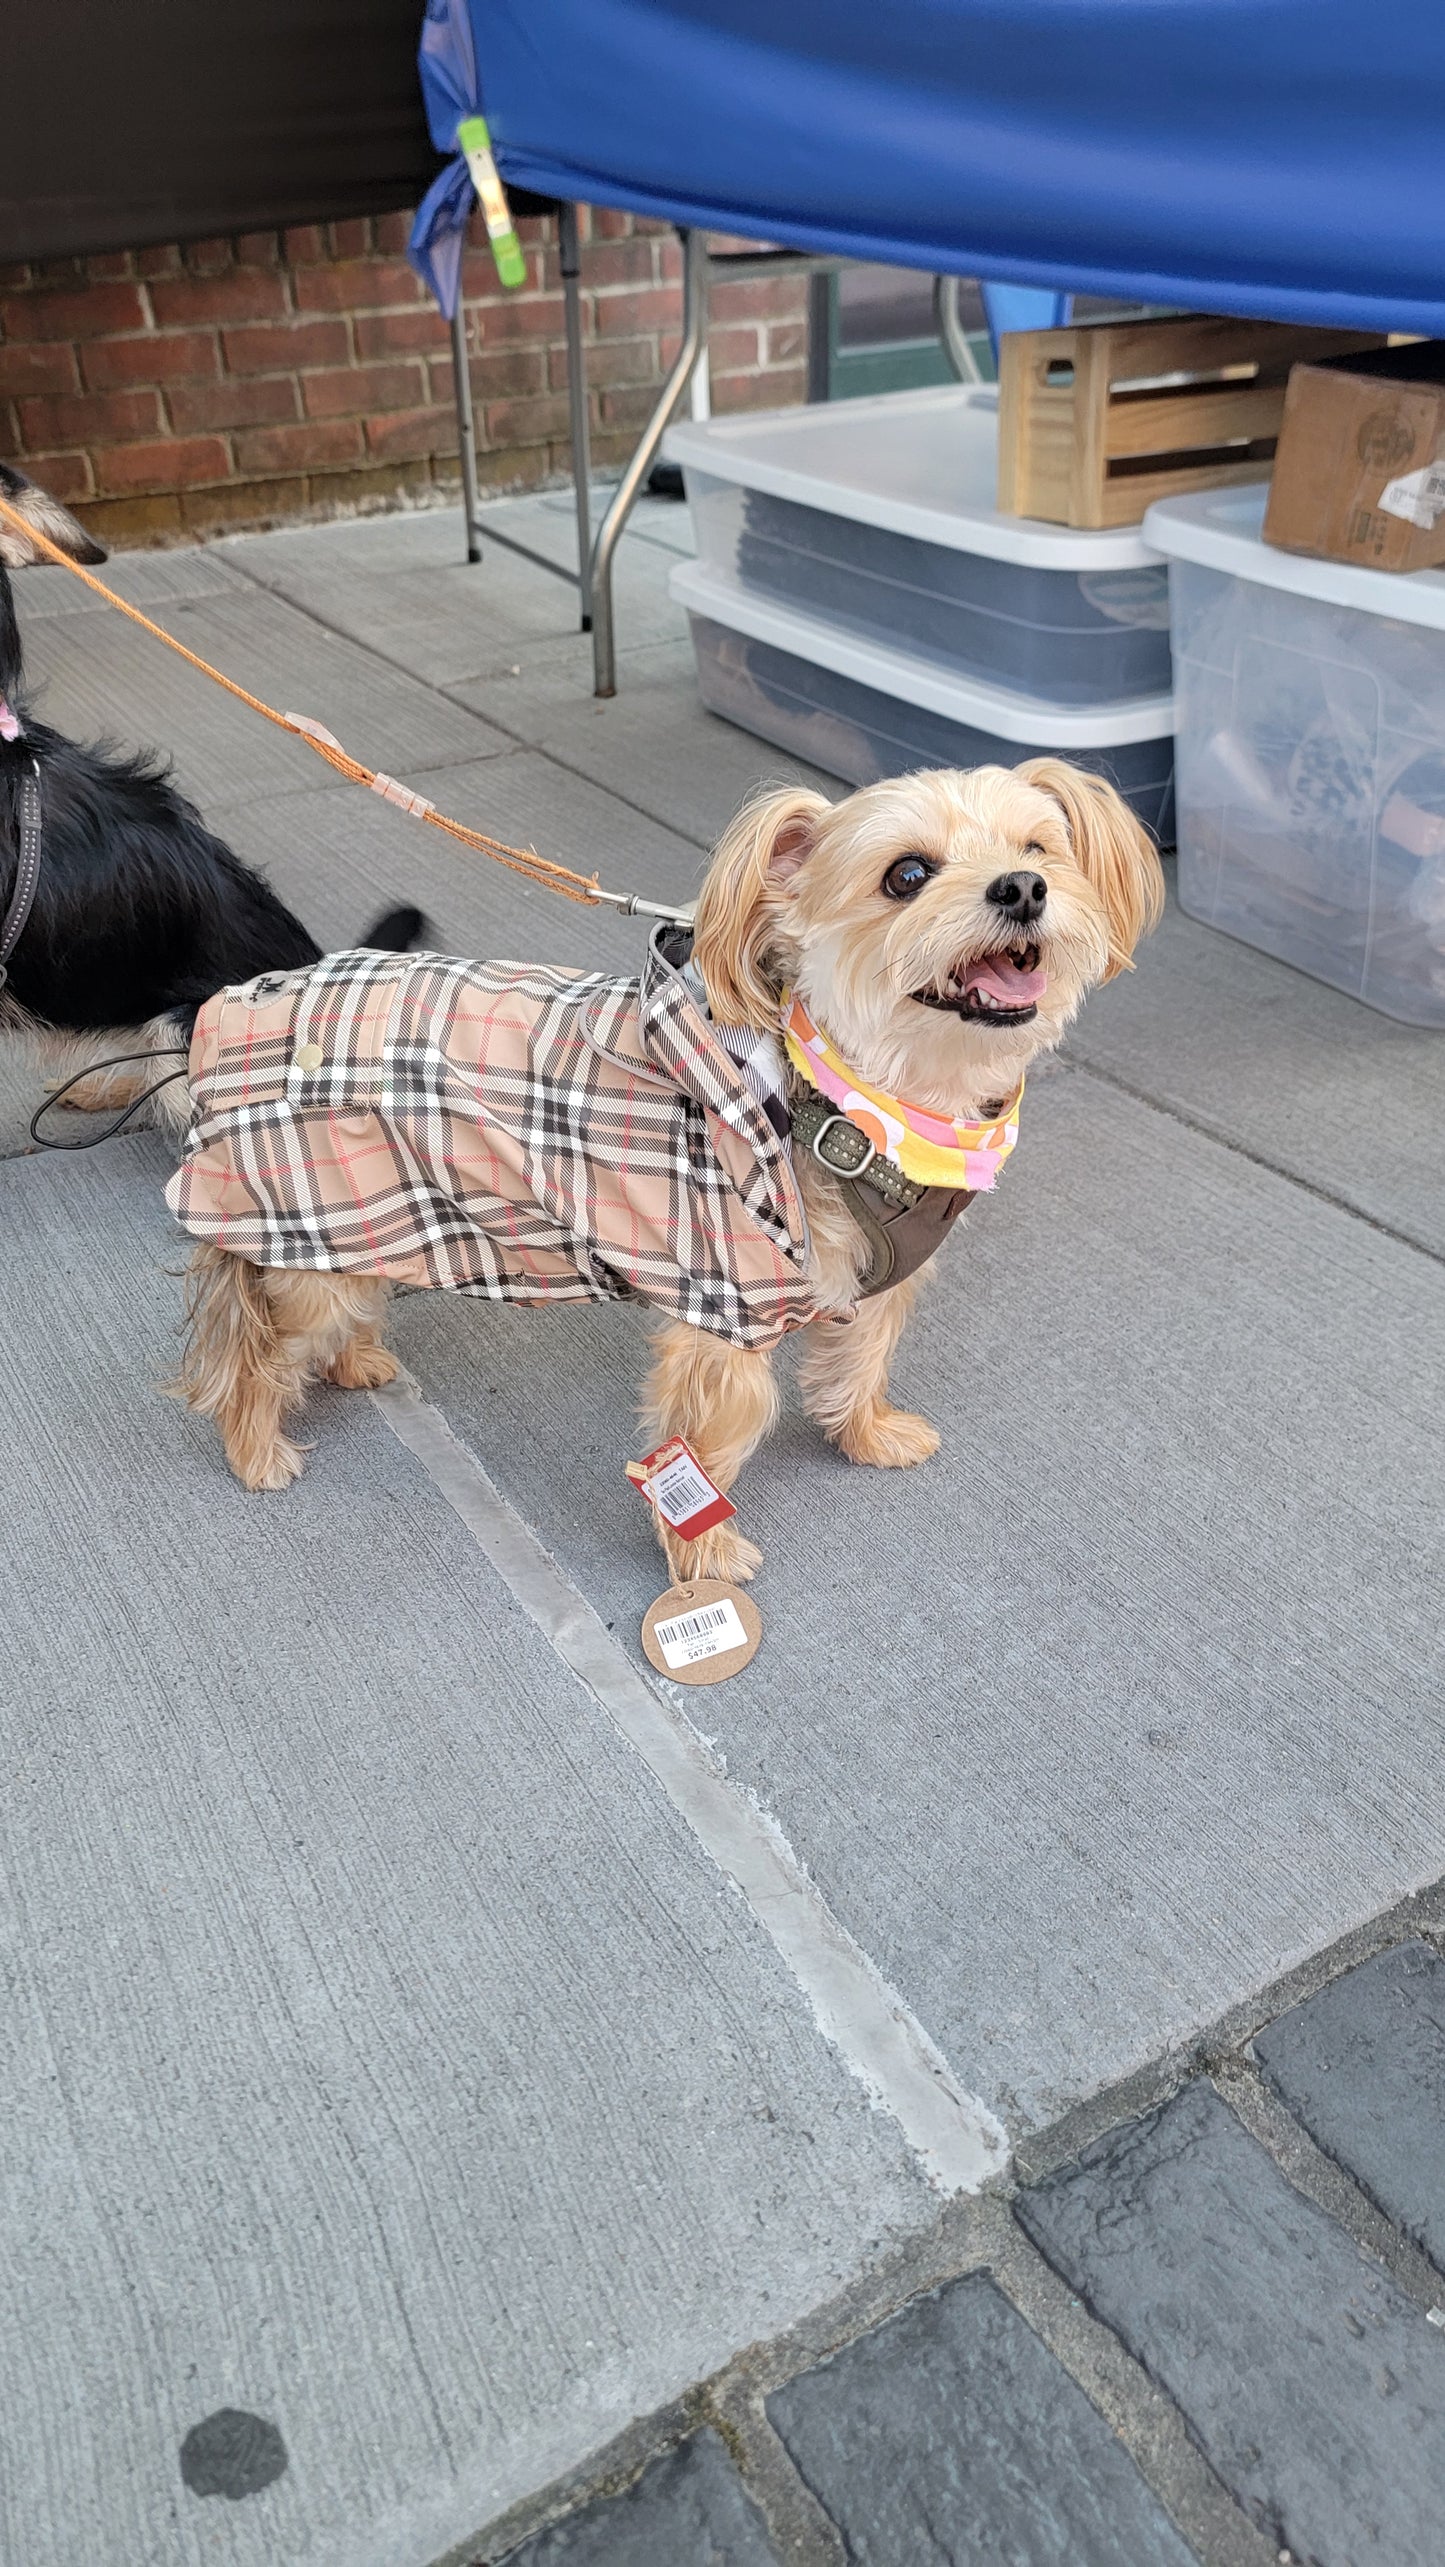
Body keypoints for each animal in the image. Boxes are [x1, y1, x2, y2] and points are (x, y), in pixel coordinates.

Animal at [171, 754, 1165, 1581]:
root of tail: (236, 1008)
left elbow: (860, 1362)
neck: (852, 1101)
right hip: (304, 1224)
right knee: (254, 1349)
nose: (1025, 887)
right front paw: (706, 1554)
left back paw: (354, 1362)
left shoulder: (872, 1286)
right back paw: (255, 1448)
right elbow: (710, 1449)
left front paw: (868, 1435)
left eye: (1039, 847)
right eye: (907, 875)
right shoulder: (726, 1321)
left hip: (367, 1216)